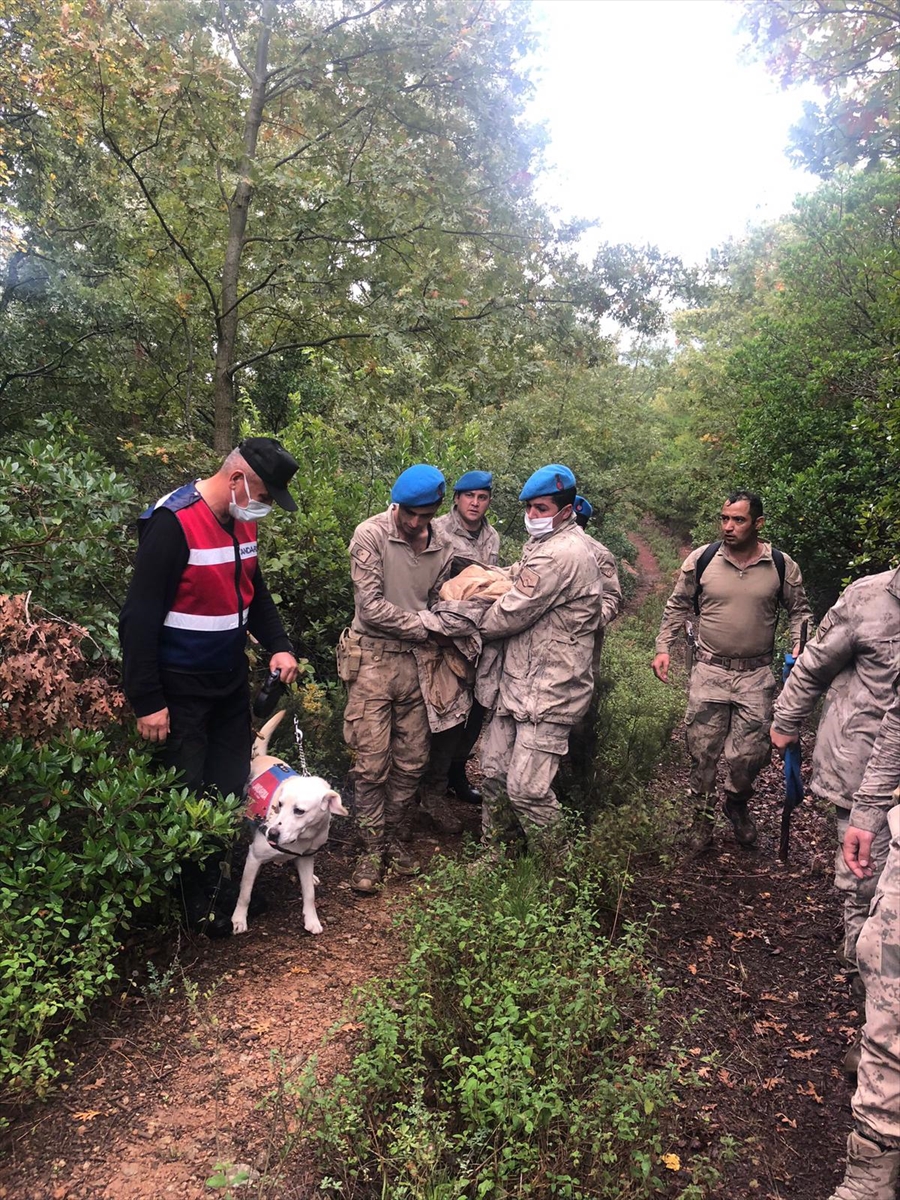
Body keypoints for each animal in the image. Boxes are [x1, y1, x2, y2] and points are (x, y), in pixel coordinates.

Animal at [232, 710, 348, 936]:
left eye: (299, 811)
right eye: (279, 805)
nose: (271, 834)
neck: (303, 838)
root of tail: (259, 756)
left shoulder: (306, 856)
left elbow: (309, 894)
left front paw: (312, 919)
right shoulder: (254, 857)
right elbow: (245, 893)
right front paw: (239, 919)